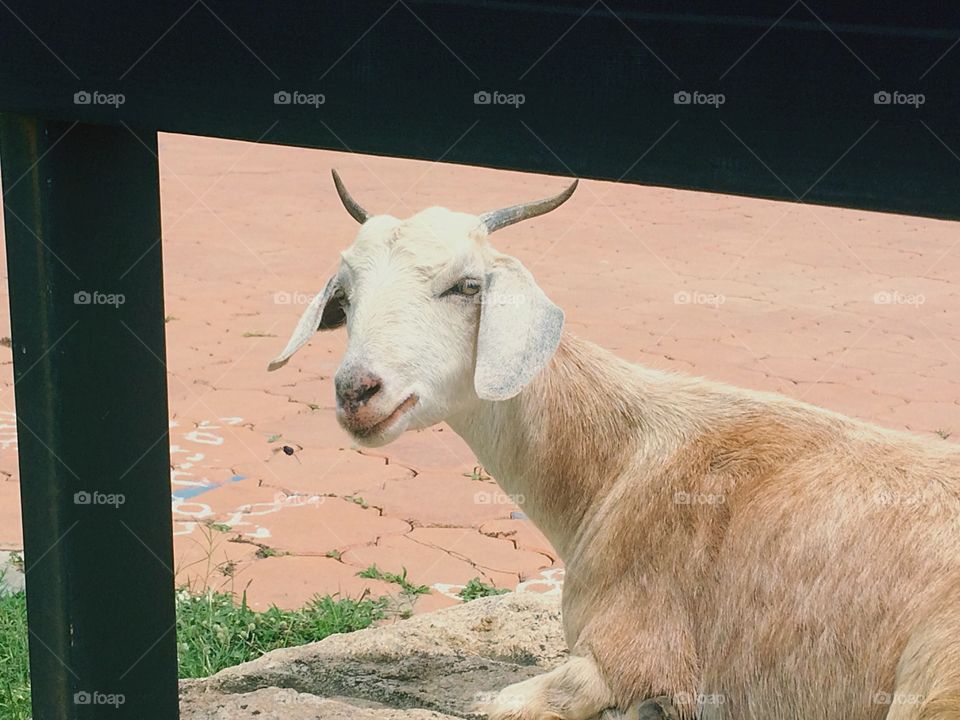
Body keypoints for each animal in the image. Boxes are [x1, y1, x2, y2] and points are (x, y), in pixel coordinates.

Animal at [269, 172, 960, 720]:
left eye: (466, 286)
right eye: (345, 296)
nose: (357, 390)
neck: (620, 464)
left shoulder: (630, 651)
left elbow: (515, 703)